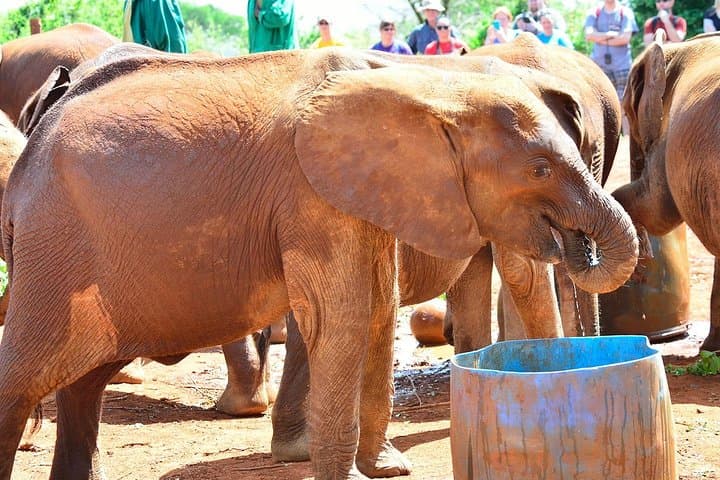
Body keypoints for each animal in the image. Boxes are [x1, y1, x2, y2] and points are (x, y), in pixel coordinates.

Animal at [0, 48, 639, 480]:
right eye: (539, 168)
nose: (578, 244)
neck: (432, 85)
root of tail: (31, 147)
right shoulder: (312, 196)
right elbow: (346, 316)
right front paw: (353, 474)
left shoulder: (366, 194)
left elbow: (376, 309)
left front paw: (385, 470)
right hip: (56, 248)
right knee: (25, 376)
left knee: (84, 384)